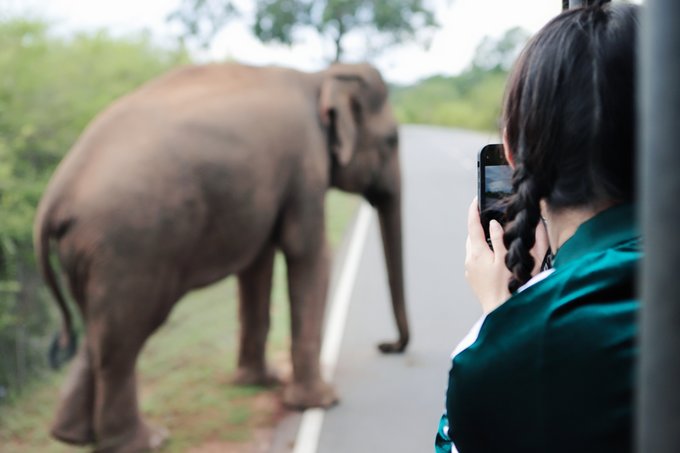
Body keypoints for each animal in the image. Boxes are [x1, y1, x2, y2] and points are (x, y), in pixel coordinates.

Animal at [34, 61, 410, 450]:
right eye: (392, 140)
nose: (385, 345)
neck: (319, 77)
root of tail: (54, 199)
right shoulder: (305, 165)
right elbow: (308, 254)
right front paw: (322, 403)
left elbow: (258, 263)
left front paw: (259, 382)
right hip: (126, 248)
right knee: (123, 338)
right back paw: (145, 441)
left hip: (87, 253)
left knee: (97, 332)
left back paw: (70, 436)